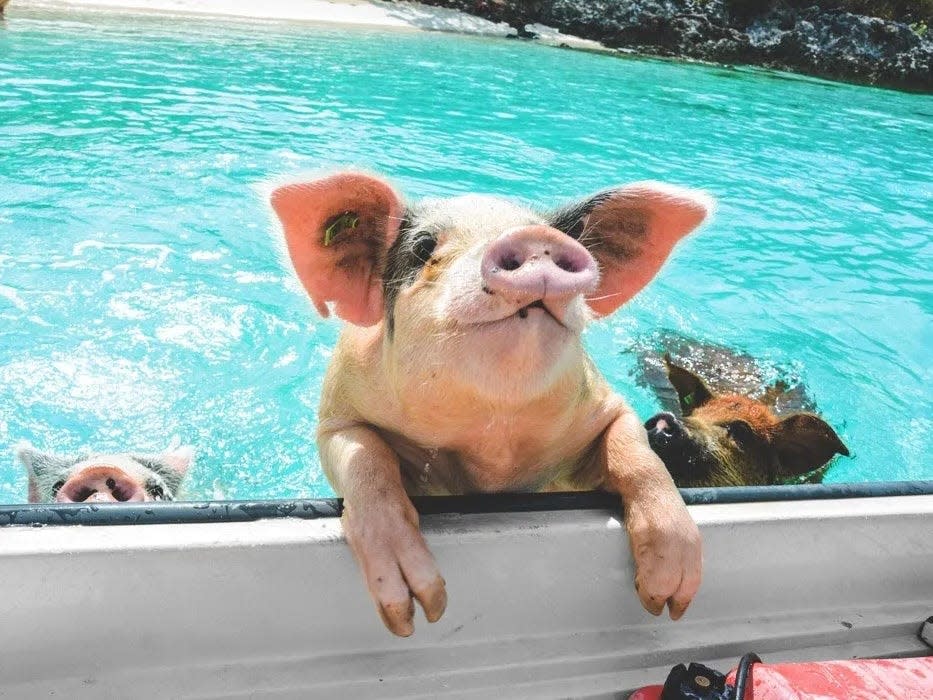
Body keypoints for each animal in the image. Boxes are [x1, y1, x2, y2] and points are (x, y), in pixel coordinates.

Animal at [270, 170, 712, 636]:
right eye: (424, 246)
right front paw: (419, 610)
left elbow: (639, 458)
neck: (493, 437)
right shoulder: (338, 416)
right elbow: (368, 464)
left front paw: (670, 599)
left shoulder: (606, 406)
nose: (538, 239)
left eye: (548, 232)